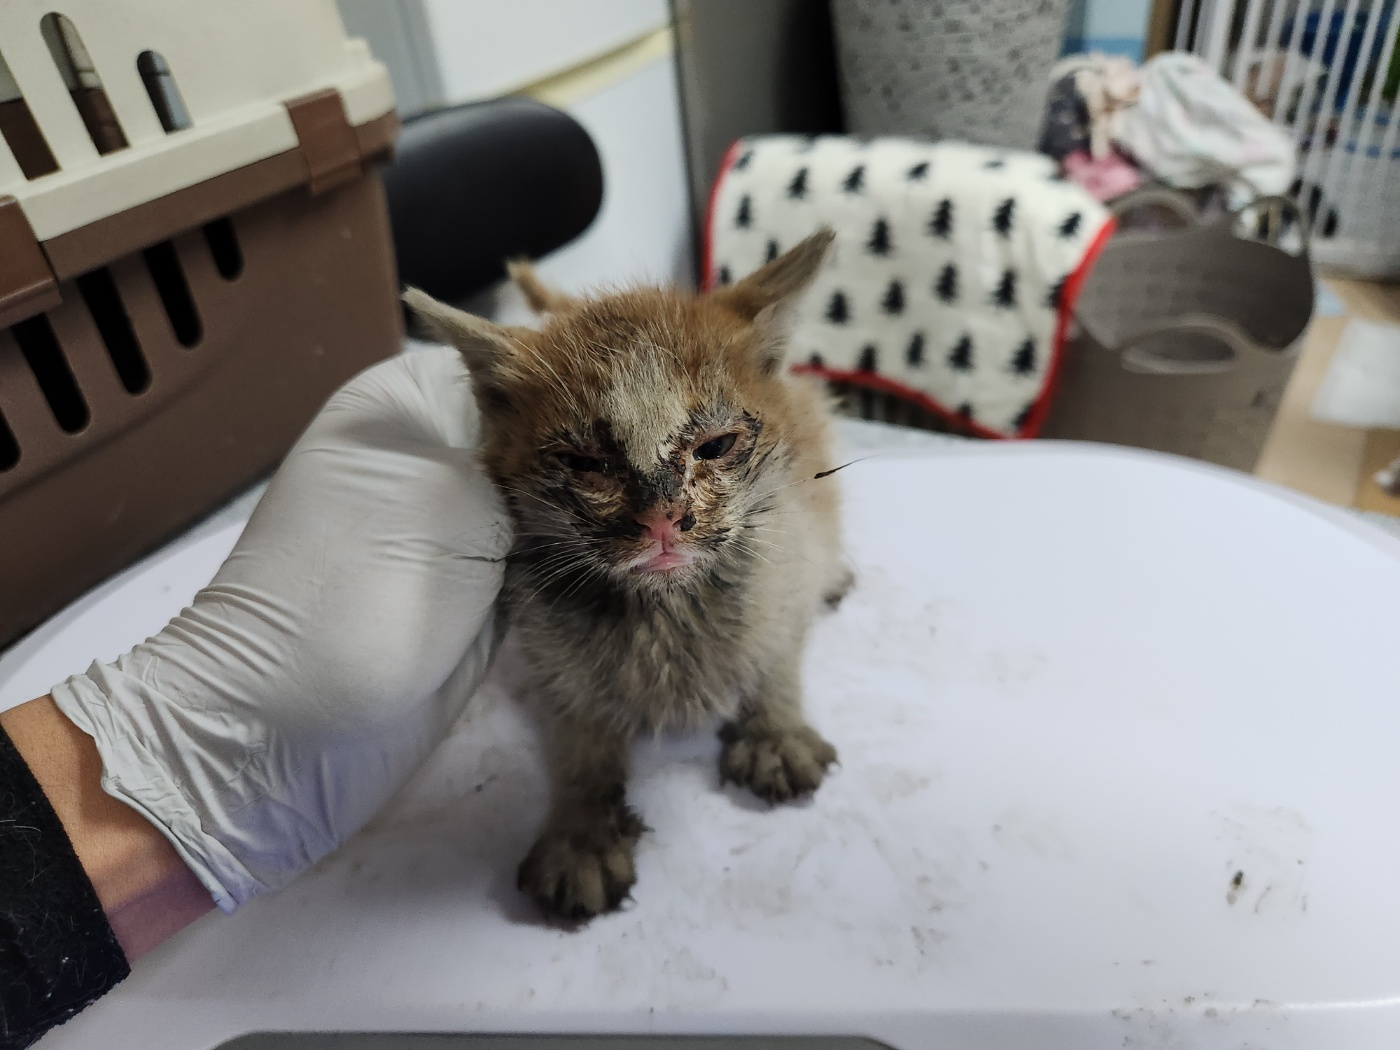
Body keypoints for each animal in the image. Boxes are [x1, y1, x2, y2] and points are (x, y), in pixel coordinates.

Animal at [400, 232, 845, 918]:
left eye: (716, 447)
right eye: (585, 463)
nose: (663, 517)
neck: (664, 607)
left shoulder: (789, 549)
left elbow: (778, 648)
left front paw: (776, 731)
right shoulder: (547, 654)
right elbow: (577, 736)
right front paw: (582, 832)